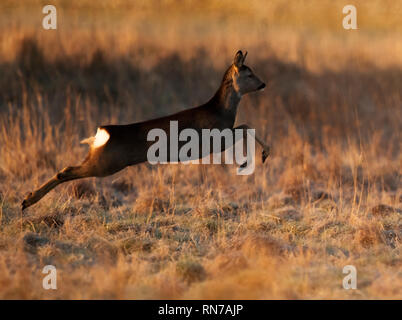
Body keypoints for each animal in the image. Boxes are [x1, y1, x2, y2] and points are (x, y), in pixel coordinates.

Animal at [20, 50, 268, 210]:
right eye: (249, 74)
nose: (263, 84)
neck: (221, 110)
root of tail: (103, 132)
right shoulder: (215, 137)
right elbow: (247, 127)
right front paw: (256, 158)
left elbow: (246, 126)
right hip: (107, 163)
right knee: (66, 171)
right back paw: (27, 201)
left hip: (102, 159)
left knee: (67, 168)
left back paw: (27, 200)